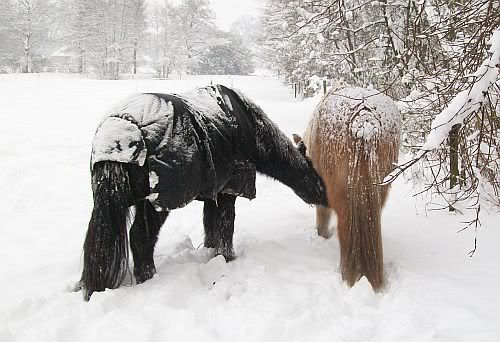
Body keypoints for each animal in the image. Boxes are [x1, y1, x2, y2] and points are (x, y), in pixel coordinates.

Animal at [78, 84, 328, 300]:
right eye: (313, 172)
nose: (325, 197)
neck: (252, 130)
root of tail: (119, 131)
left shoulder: (213, 192)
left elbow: (210, 226)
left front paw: (211, 252)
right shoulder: (229, 189)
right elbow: (226, 226)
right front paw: (228, 258)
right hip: (156, 205)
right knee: (140, 237)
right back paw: (149, 278)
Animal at [294, 85, 400, 288]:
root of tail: (364, 120)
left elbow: (322, 217)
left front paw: (322, 235)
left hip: (340, 195)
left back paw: (347, 274)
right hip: (379, 190)